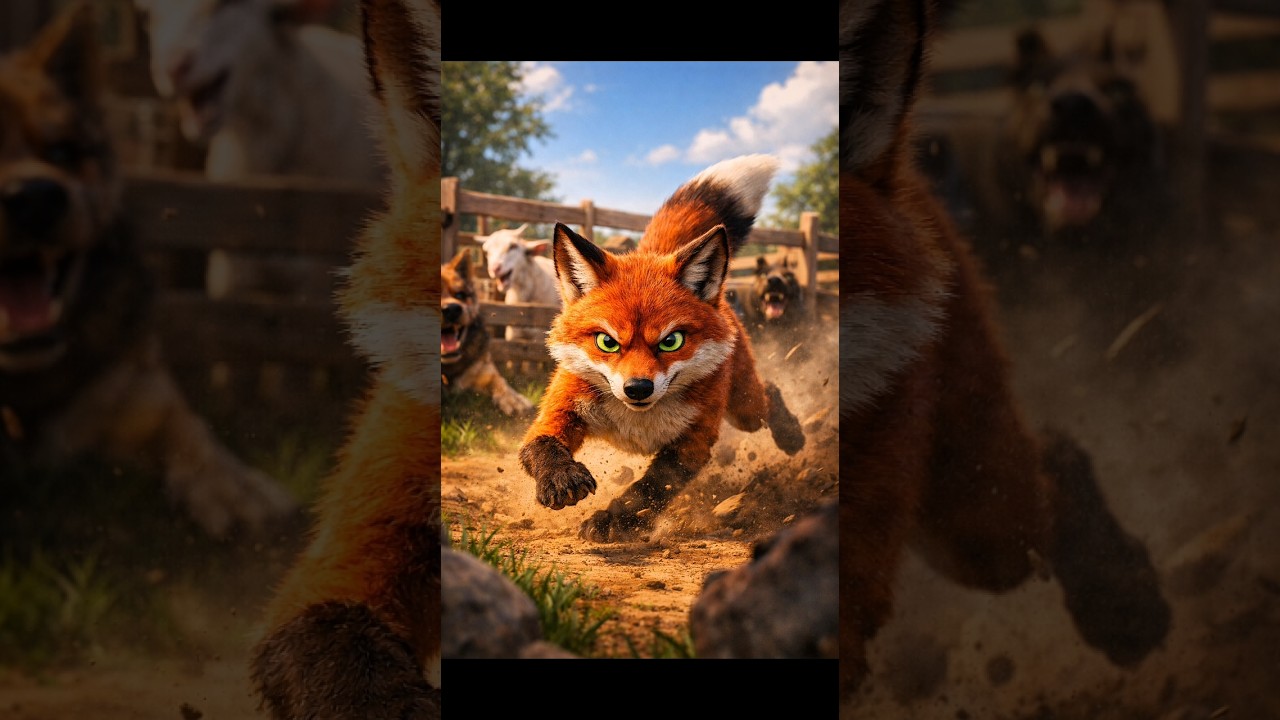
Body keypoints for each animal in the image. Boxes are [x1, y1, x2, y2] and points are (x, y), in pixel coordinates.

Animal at [519, 154, 807, 543]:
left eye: (671, 341)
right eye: (607, 342)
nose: (638, 388)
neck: (639, 422)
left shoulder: (693, 444)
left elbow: (648, 490)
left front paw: (613, 520)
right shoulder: (560, 409)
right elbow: (540, 445)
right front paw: (561, 478)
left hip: (744, 411)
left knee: (770, 394)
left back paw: (791, 434)